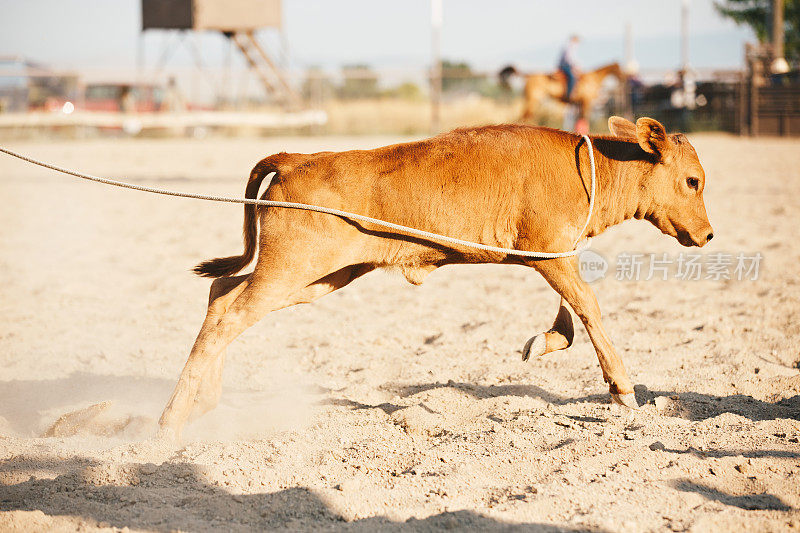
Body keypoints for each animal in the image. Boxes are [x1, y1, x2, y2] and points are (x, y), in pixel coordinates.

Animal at [156, 115, 712, 436]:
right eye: (692, 180)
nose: (708, 235)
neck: (591, 167)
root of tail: (297, 158)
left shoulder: (559, 255)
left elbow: (572, 316)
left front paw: (542, 343)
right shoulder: (552, 256)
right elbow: (591, 308)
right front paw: (623, 391)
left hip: (321, 276)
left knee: (221, 294)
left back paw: (203, 405)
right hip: (291, 268)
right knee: (227, 318)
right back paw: (169, 422)